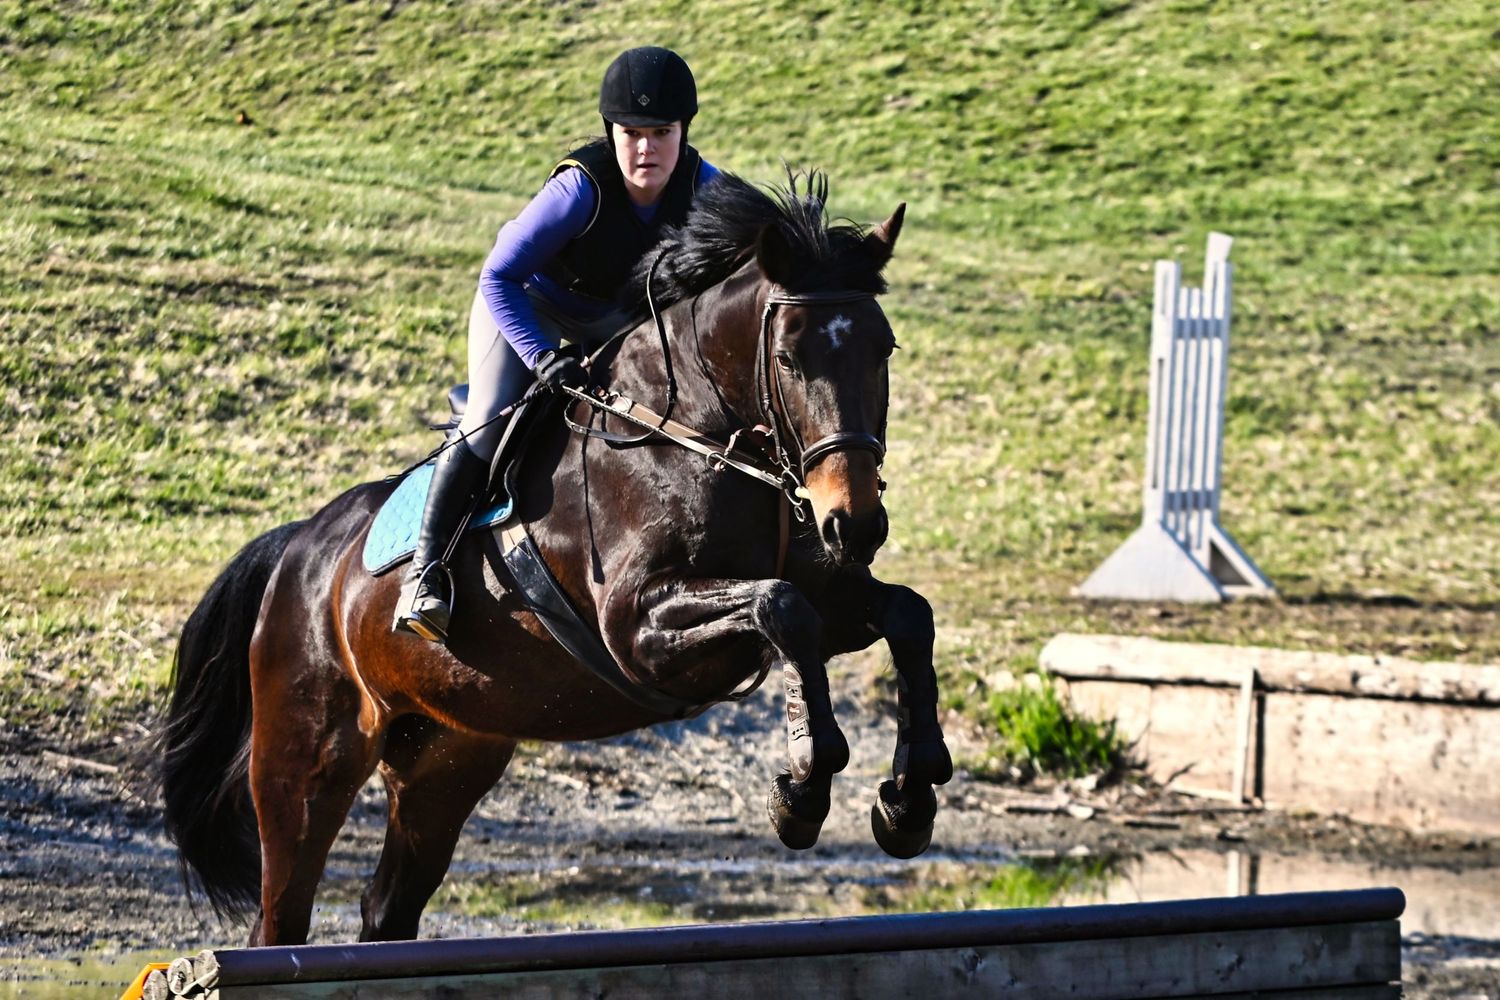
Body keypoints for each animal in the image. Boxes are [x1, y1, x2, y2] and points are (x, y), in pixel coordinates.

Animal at [158, 172, 953, 946]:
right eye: (788, 358)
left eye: (883, 349)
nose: (854, 523)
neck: (695, 436)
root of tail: (297, 550)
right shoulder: (639, 630)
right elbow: (779, 608)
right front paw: (804, 789)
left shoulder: (829, 593)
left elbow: (904, 614)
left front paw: (910, 796)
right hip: (307, 764)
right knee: (279, 918)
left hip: (446, 762)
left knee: (387, 911)